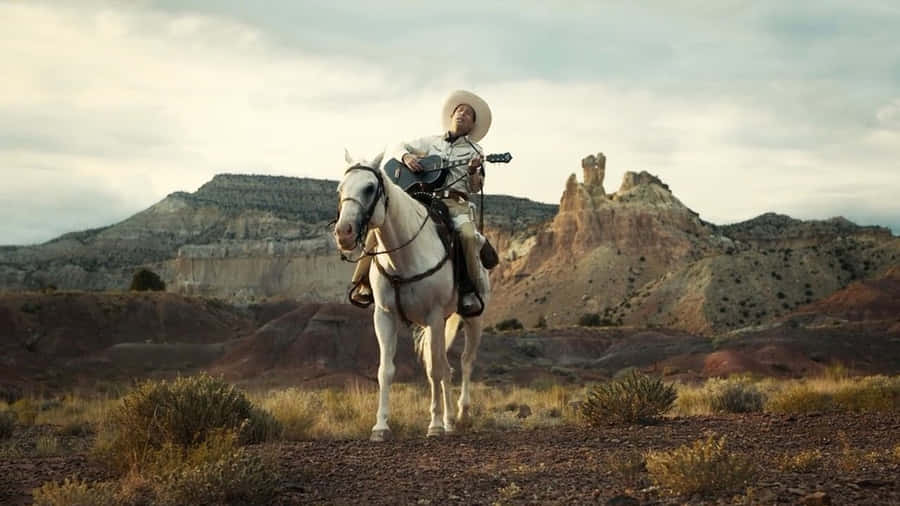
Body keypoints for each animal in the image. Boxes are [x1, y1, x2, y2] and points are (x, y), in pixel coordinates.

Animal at [332, 152, 488, 440]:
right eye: (340, 189)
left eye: (369, 188)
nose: (343, 232)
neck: (404, 256)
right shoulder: (384, 316)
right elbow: (386, 370)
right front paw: (381, 426)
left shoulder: (434, 316)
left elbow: (434, 369)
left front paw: (434, 425)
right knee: (447, 366)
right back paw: (450, 419)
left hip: (473, 319)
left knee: (465, 361)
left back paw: (461, 414)